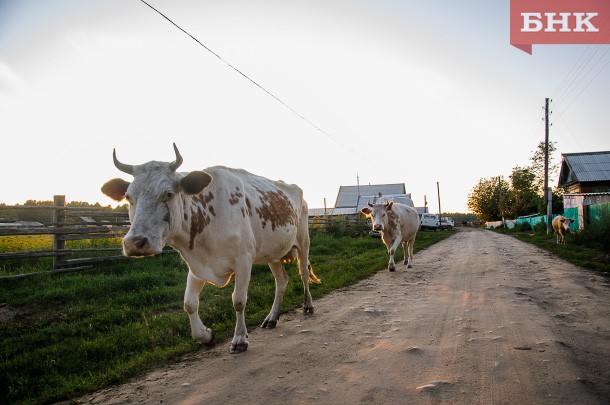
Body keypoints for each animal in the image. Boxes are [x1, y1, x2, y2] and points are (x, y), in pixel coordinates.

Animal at [100, 144, 318, 352]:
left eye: (168, 194)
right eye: (128, 197)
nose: (135, 243)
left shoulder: (243, 260)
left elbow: (238, 300)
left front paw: (240, 339)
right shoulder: (197, 265)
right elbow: (189, 303)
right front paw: (205, 336)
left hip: (303, 242)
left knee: (303, 273)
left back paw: (308, 305)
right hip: (273, 253)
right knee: (281, 281)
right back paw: (272, 317)